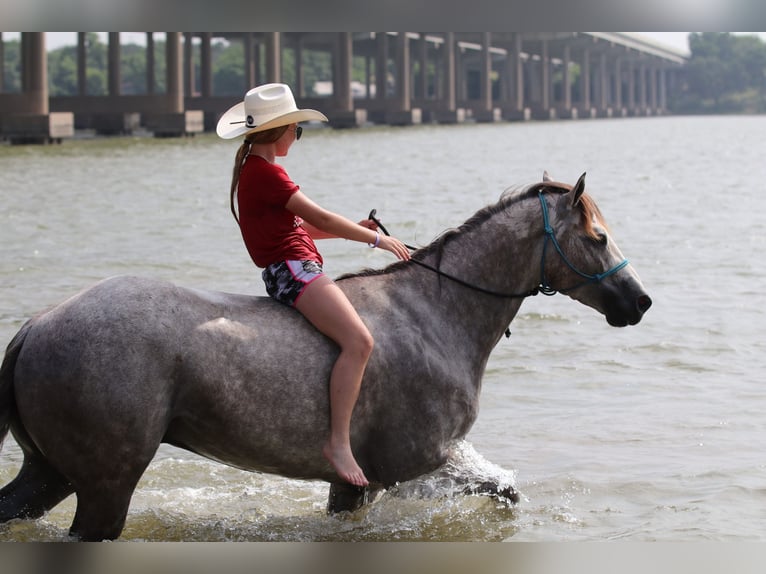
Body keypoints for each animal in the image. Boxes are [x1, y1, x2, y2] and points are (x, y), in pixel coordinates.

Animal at [0, 173, 656, 544]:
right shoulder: (416, 461)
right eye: (598, 237)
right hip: (105, 483)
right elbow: (504, 490)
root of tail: (36, 326)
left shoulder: (353, 484)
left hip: (50, 472)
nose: (641, 301)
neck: (436, 313)